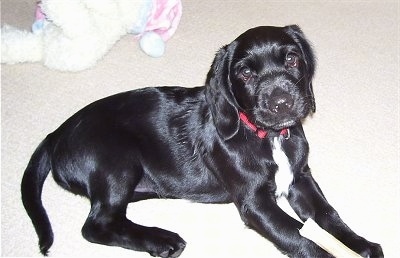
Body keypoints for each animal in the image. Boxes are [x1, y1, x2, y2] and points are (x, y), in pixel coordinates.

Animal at [20, 25, 382, 256]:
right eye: (245, 74)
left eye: (293, 59)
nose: (282, 103)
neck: (269, 137)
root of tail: (58, 132)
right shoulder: (255, 203)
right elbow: (297, 235)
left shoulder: (300, 178)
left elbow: (328, 215)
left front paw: (360, 245)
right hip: (116, 162)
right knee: (96, 225)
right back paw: (161, 241)